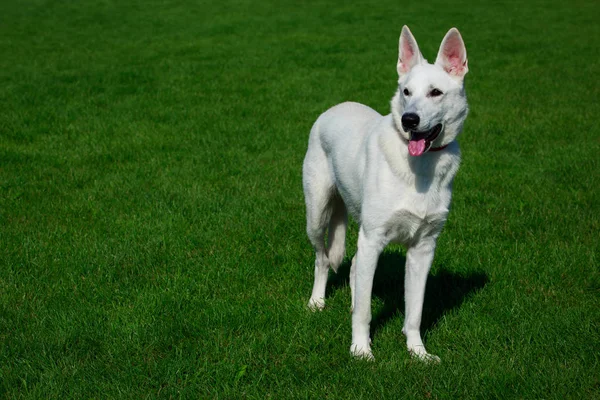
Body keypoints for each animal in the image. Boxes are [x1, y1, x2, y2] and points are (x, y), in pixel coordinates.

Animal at [304, 26, 468, 360]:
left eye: (435, 92)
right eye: (406, 92)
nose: (409, 120)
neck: (421, 166)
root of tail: (337, 106)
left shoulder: (423, 249)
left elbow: (414, 311)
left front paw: (418, 353)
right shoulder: (373, 238)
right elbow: (365, 311)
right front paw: (360, 351)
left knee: (354, 266)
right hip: (316, 215)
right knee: (323, 259)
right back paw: (317, 302)